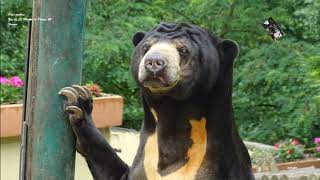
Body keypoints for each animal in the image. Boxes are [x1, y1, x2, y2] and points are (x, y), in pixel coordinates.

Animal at [58, 23, 254, 179]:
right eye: (146, 47)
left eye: (183, 50)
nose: (154, 62)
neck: (172, 110)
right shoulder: (144, 162)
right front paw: (77, 100)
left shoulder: (214, 164)